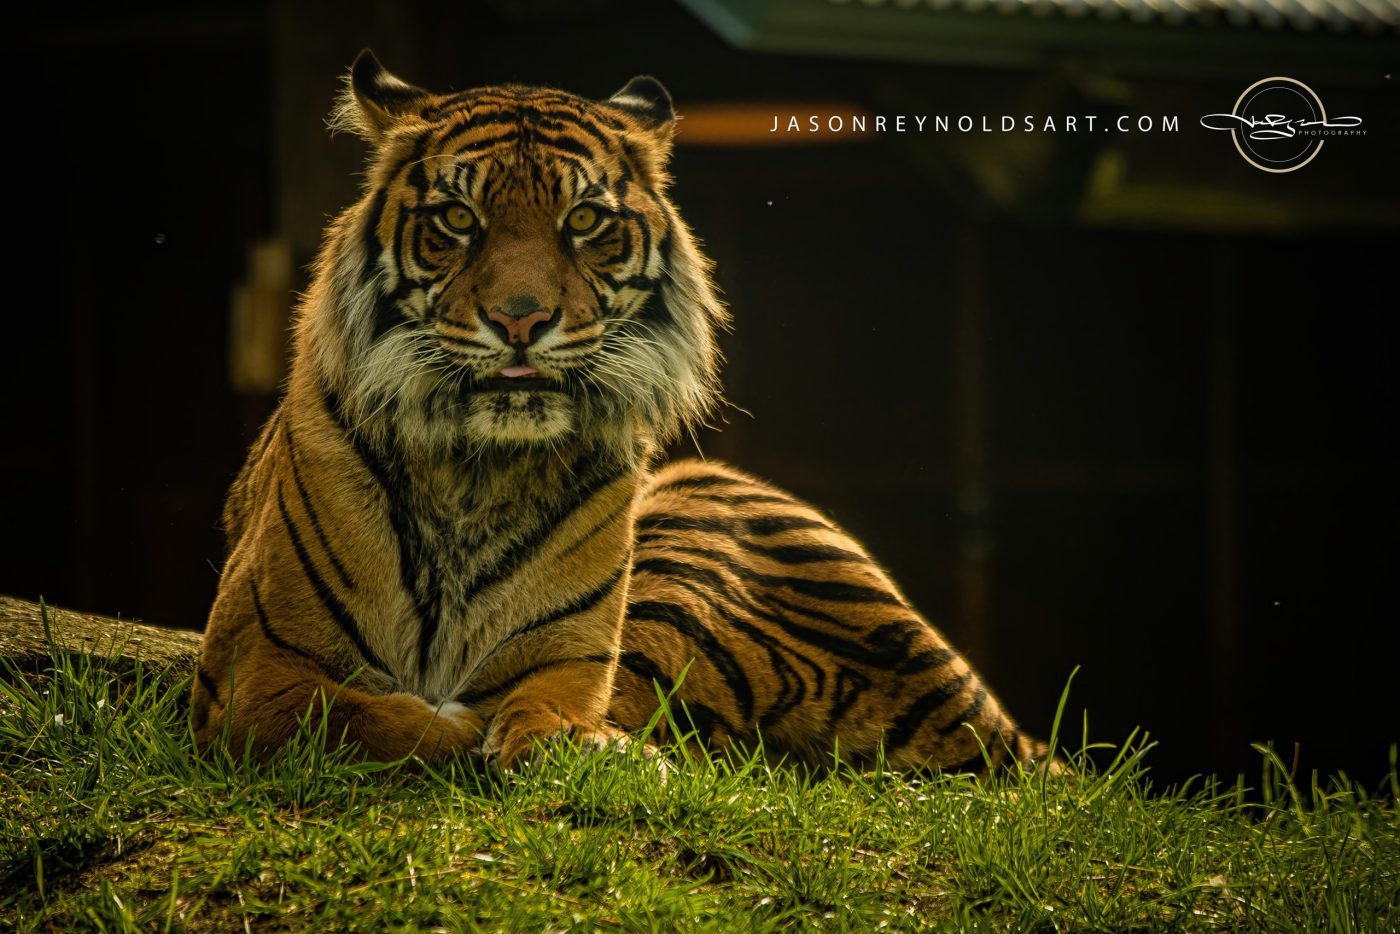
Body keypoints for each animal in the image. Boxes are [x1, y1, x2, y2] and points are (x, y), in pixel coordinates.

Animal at [192, 50, 1050, 775]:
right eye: (459, 218)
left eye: (583, 221)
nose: (521, 320)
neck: (476, 471)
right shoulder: (258, 673)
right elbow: (372, 717)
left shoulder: (566, 667)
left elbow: (531, 726)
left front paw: (590, 746)